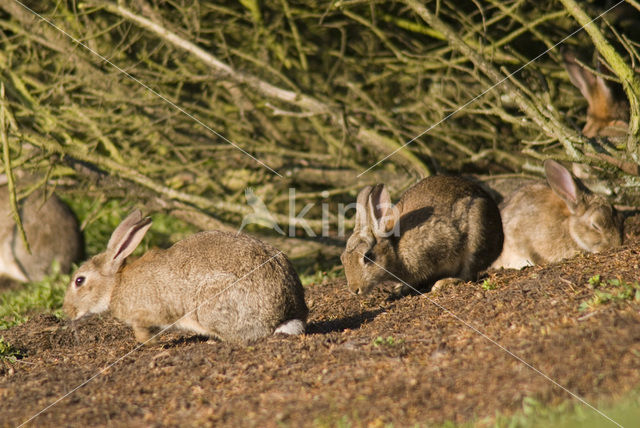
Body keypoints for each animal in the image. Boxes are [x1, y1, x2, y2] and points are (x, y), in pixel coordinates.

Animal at [62, 211, 308, 344]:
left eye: (79, 281)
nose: (68, 310)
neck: (115, 285)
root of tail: (286, 313)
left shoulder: (147, 313)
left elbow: (143, 330)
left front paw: (149, 343)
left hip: (211, 303)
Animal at [340, 176, 504, 294]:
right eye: (342, 259)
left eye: (368, 257)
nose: (354, 289)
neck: (395, 248)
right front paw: (400, 288)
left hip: (477, 229)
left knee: (468, 272)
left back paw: (443, 283)